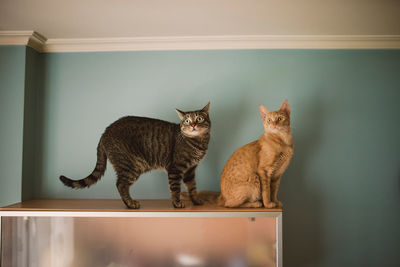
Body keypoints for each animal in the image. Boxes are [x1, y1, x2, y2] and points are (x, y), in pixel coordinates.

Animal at [60, 102, 211, 209]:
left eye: (199, 118)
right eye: (187, 121)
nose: (193, 124)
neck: (199, 142)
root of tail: (104, 133)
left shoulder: (190, 170)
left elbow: (192, 187)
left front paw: (196, 201)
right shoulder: (176, 168)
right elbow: (175, 188)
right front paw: (177, 203)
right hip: (132, 166)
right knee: (120, 184)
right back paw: (130, 203)